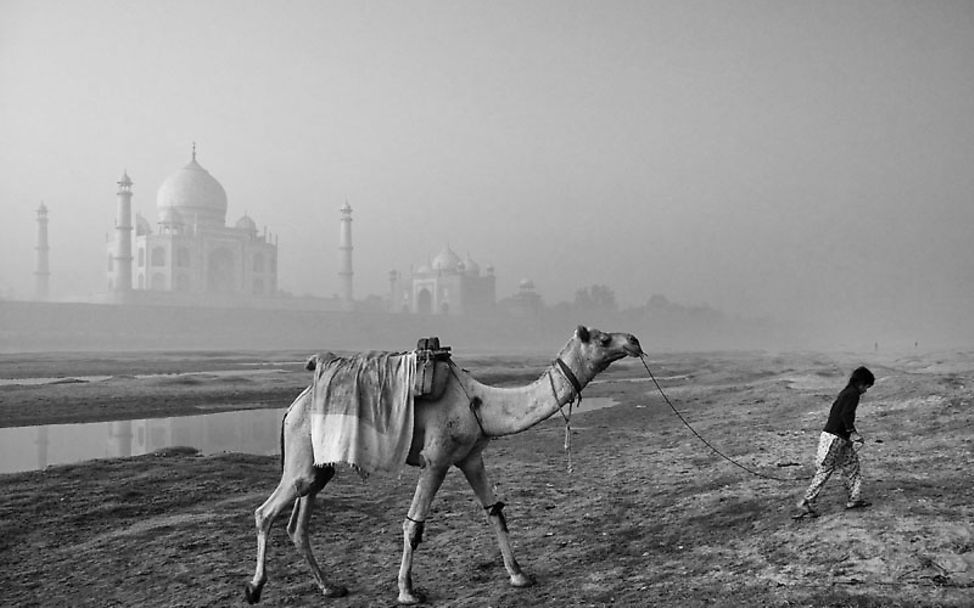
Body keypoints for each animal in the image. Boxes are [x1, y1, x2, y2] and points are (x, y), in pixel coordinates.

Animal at [246, 326, 640, 600]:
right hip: (302, 450)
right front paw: (407, 591)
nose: (634, 341)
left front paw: (519, 576)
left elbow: (495, 513)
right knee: (266, 512)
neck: (482, 402)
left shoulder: (470, 457)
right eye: (604, 339)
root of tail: (292, 407)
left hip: (319, 464)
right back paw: (254, 589)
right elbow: (413, 526)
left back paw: (330, 587)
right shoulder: (436, 459)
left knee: (299, 521)